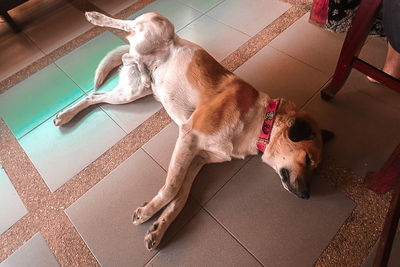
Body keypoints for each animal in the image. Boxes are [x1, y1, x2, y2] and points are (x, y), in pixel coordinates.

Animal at [54, 11, 334, 251]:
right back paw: (96, 18)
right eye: (308, 159)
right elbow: (171, 188)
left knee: (101, 89)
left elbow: (181, 195)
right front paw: (147, 212)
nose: (307, 196)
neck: (262, 121)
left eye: (316, 166)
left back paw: (68, 114)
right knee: (126, 29)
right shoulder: (188, 137)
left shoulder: (198, 159)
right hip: (158, 28)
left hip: (130, 92)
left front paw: (159, 228)